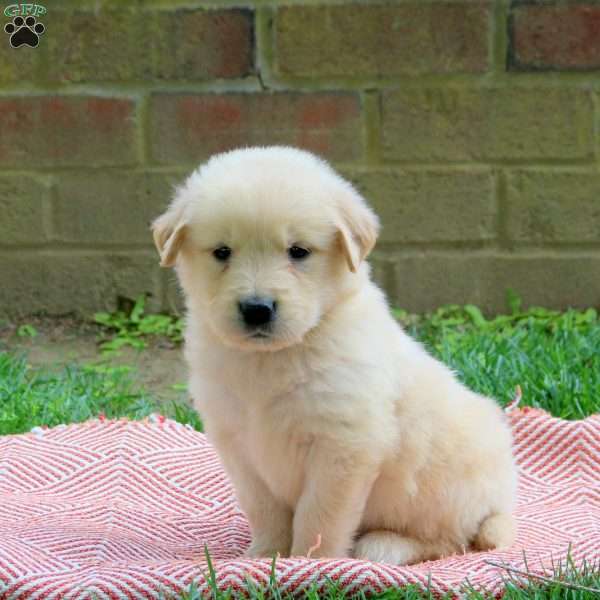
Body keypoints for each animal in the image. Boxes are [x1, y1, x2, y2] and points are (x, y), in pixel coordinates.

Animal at [152, 146, 517, 564]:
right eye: (222, 252)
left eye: (298, 252)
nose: (257, 309)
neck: (273, 356)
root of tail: (501, 500)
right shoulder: (238, 445)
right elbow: (264, 509)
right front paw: (264, 557)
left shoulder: (342, 446)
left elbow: (319, 516)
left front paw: (311, 563)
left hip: (443, 489)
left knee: (450, 540)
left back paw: (385, 545)